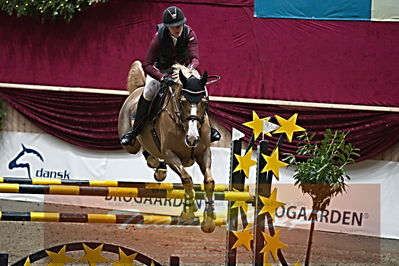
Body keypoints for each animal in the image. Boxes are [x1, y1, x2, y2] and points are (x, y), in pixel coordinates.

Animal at [118, 61, 216, 232]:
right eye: (182, 101)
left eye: (204, 102)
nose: (192, 138)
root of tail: (137, 90)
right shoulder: (170, 155)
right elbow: (187, 179)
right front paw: (187, 213)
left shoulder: (204, 153)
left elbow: (209, 181)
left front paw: (209, 221)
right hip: (131, 144)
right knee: (140, 147)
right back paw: (157, 166)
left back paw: (159, 168)